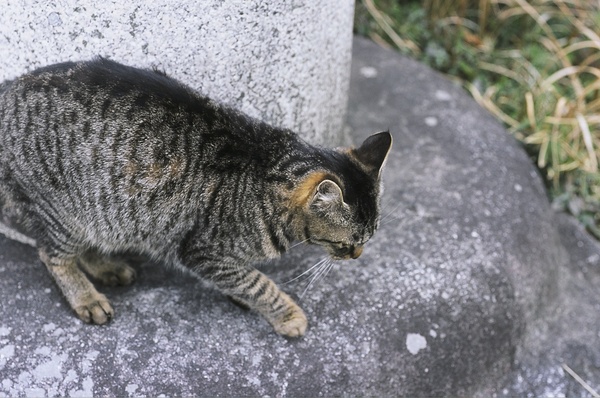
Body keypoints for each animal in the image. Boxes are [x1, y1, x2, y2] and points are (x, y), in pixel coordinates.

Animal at [0, 59, 392, 338]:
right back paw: (87, 297)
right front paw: (287, 314)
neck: (264, 181)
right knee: (52, 254)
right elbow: (257, 284)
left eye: (368, 238)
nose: (359, 255)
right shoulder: (203, 251)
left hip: (100, 214)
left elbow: (244, 279)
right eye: (348, 243)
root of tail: (7, 91)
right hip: (66, 212)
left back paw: (106, 266)